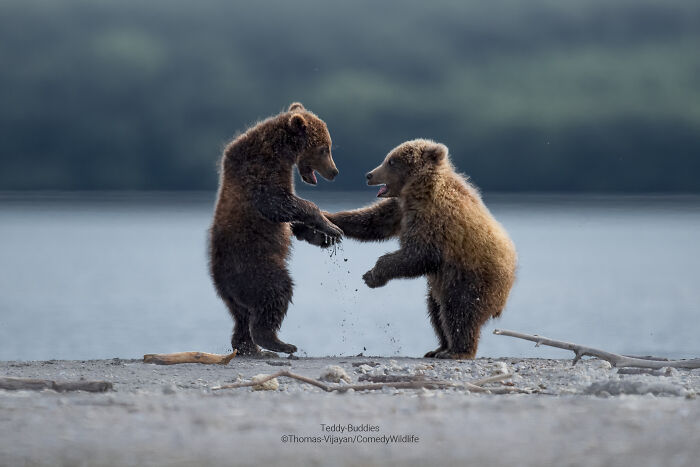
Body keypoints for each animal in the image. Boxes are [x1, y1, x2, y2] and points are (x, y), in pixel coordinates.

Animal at [209, 102, 343, 356]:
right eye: (324, 149)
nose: (335, 172)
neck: (281, 152)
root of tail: (221, 282)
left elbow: (290, 220)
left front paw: (323, 236)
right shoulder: (259, 173)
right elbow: (280, 203)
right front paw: (331, 227)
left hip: (234, 294)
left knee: (241, 317)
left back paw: (250, 347)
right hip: (256, 267)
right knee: (275, 293)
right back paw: (278, 342)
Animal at [295, 139, 517, 359]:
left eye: (392, 161)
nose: (369, 175)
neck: (417, 191)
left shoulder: (433, 219)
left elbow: (418, 255)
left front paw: (372, 275)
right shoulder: (399, 209)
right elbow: (370, 221)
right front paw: (320, 221)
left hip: (470, 279)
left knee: (459, 312)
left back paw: (457, 351)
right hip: (443, 284)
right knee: (436, 311)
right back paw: (439, 348)